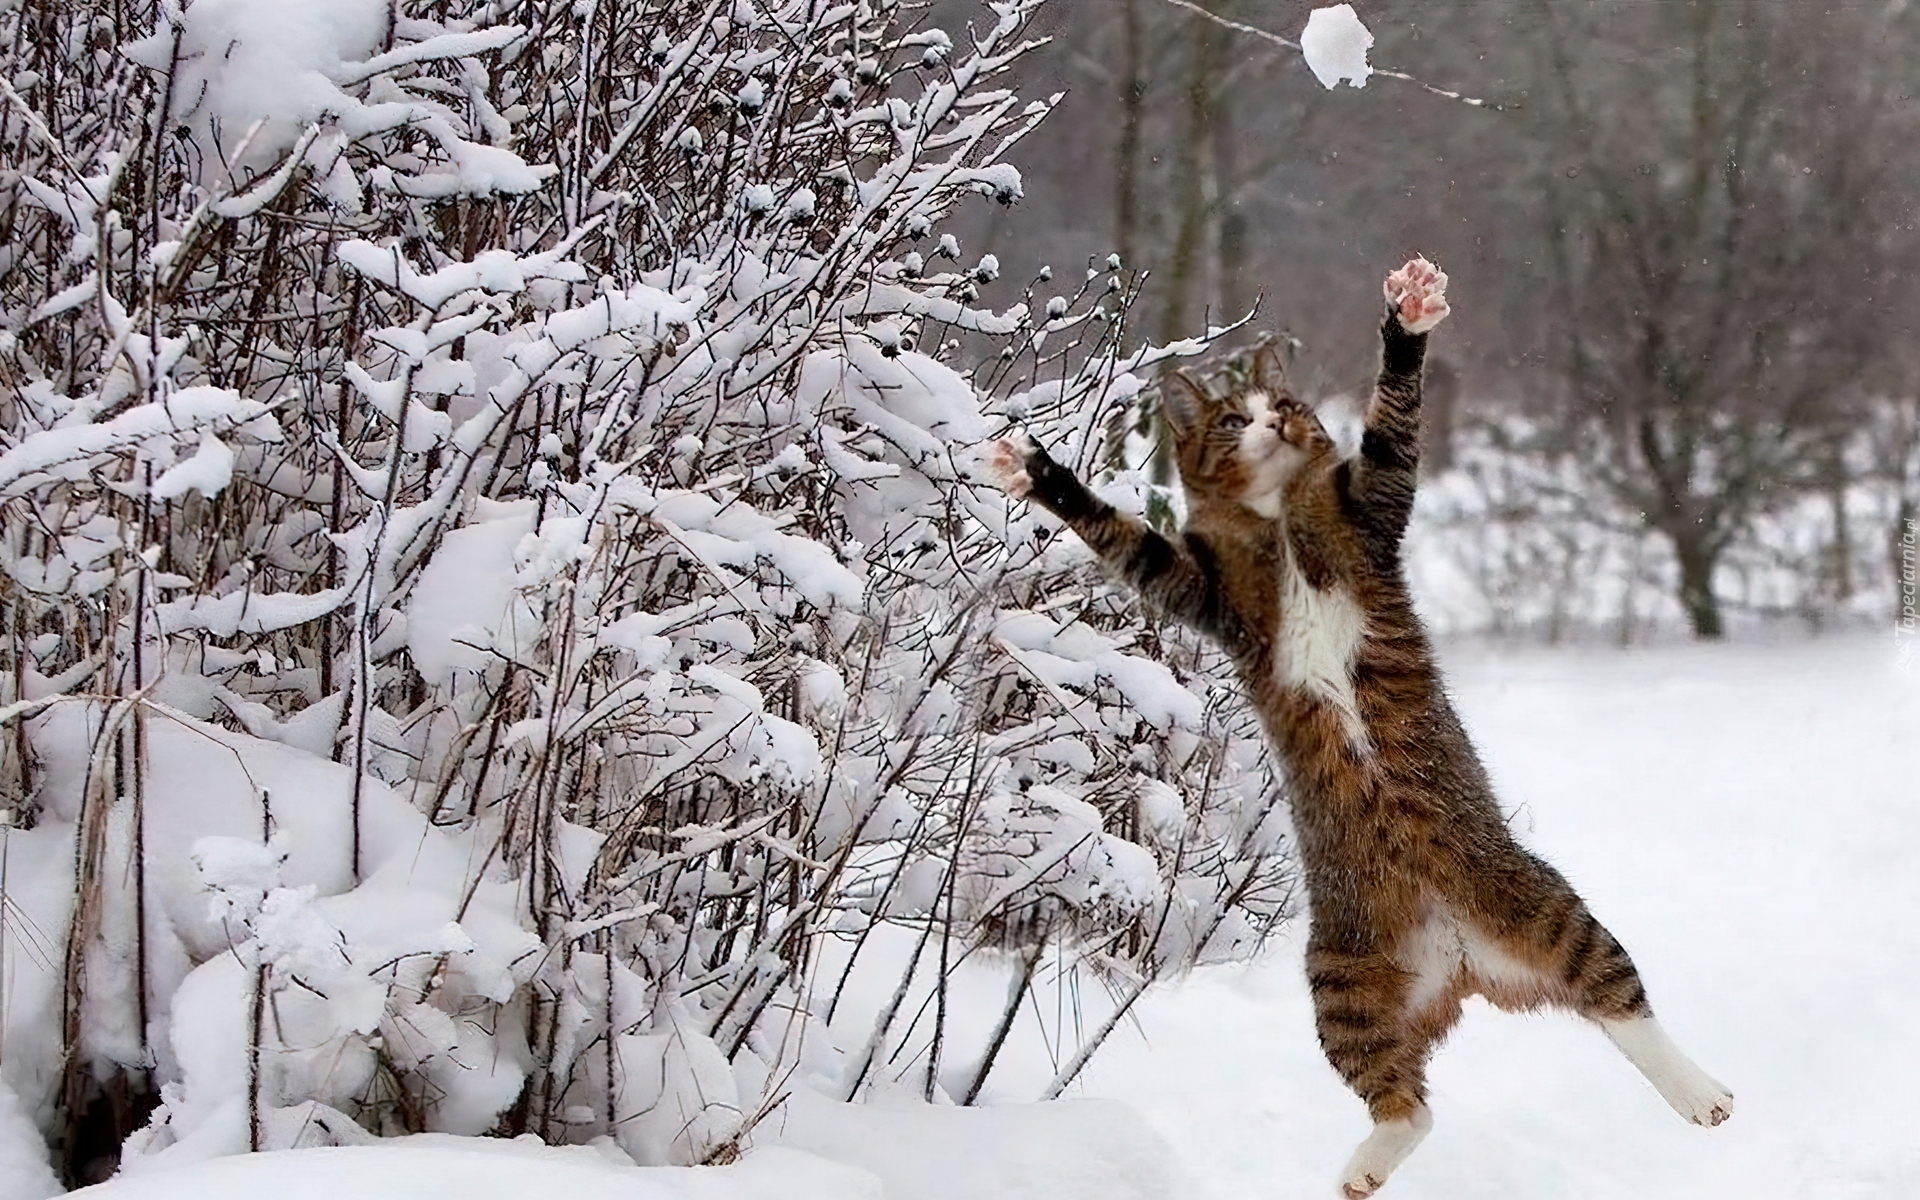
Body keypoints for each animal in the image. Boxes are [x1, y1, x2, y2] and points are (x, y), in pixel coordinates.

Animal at [983, 261, 1735, 1198]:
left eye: (1283, 403)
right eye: (1231, 420)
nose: (1271, 420)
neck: (1277, 519)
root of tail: (1461, 963)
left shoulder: (1372, 508)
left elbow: (1393, 431)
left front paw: (1408, 315)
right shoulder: (1201, 589)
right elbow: (1126, 540)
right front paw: (1039, 472)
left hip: (1545, 907)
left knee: (1623, 1006)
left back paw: (1702, 1094)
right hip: (1340, 989)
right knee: (1407, 1103)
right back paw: (1363, 1168)